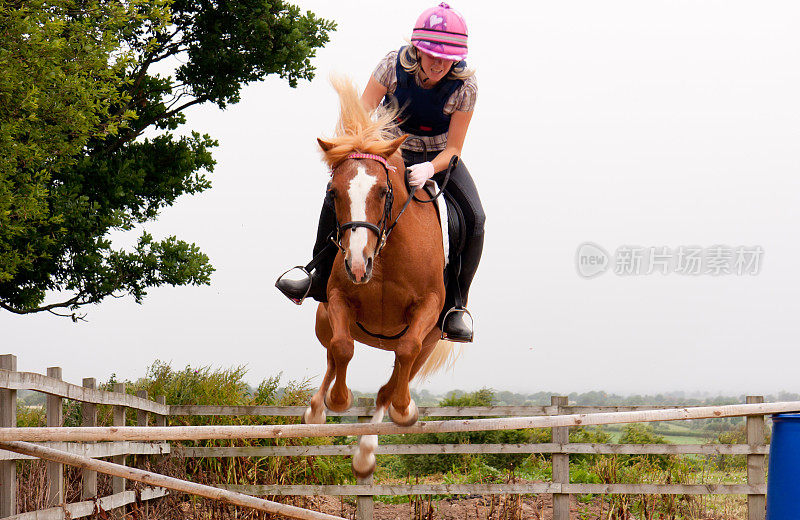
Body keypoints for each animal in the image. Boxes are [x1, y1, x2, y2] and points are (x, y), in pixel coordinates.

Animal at [298, 78, 454, 480]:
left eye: (384, 192)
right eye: (332, 194)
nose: (357, 263)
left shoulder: (429, 307)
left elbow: (404, 353)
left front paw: (405, 409)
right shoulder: (338, 297)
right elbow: (341, 349)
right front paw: (337, 401)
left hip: (432, 340)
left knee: (395, 376)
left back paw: (369, 449)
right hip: (323, 318)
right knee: (331, 355)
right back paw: (316, 409)